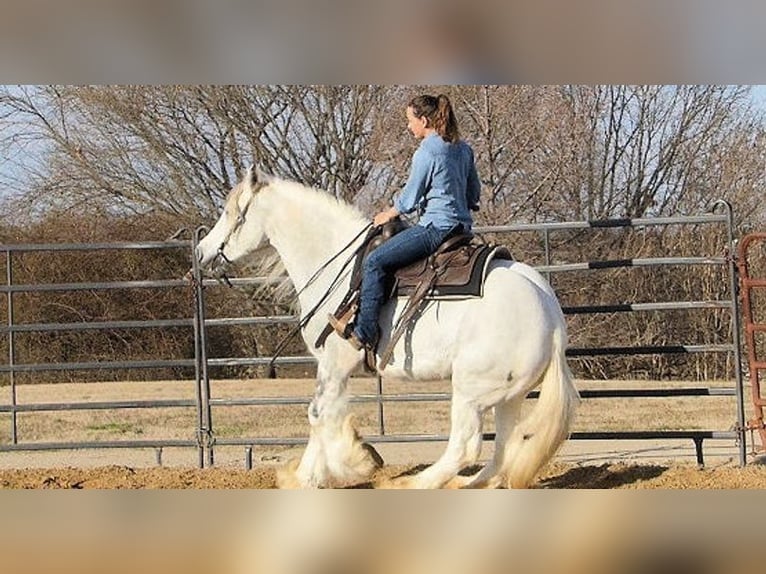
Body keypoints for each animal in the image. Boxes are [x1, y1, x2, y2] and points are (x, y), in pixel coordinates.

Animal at [195, 168, 580, 490]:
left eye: (229, 212)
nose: (200, 251)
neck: (339, 265)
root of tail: (551, 317)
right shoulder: (335, 368)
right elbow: (323, 415)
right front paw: (313, 473)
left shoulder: (335, 363)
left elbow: (319, 414)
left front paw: (350, 463)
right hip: (508, 395)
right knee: (503, 447)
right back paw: (469, 484)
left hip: (472, 391)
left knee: (465, 447)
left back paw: (413, 484)